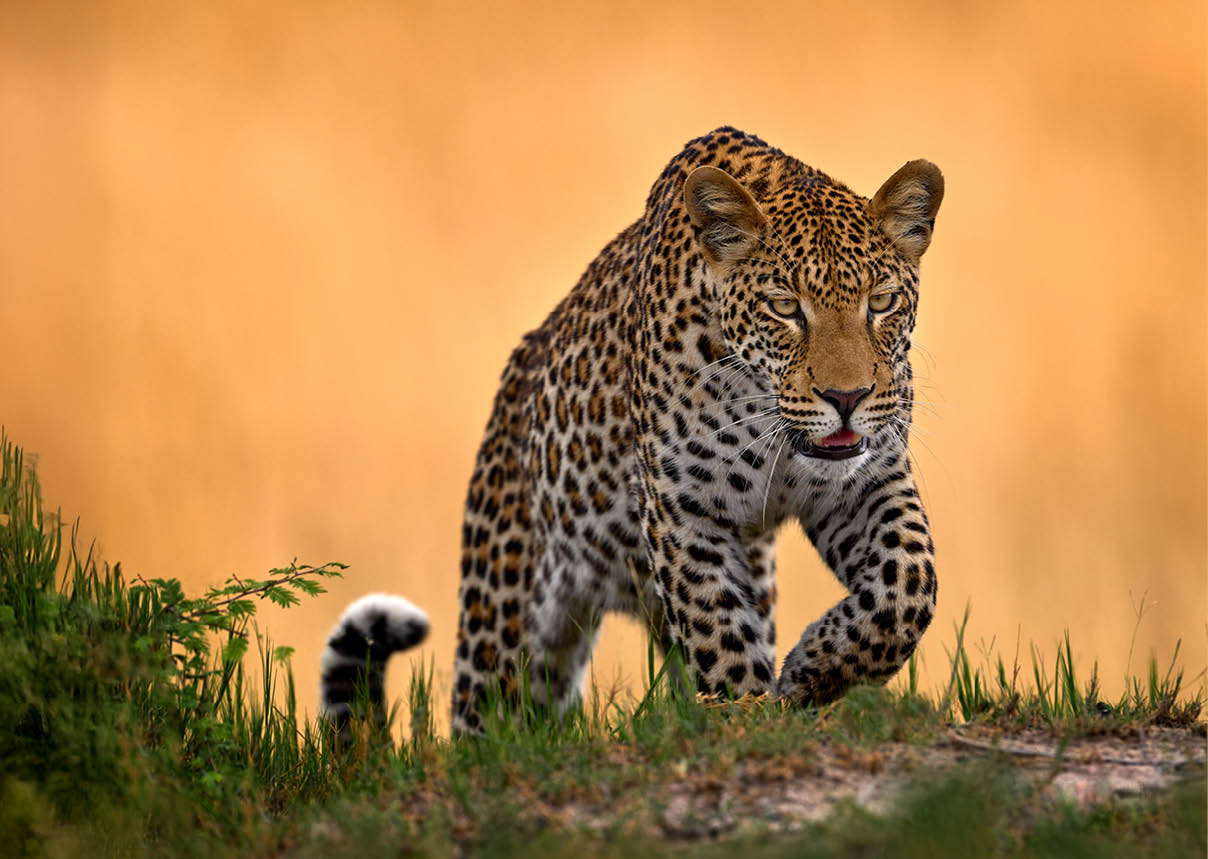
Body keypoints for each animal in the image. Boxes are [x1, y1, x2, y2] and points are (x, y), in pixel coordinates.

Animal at [319, 126, 943, 736]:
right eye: (784, 307)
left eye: (882, 302)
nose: (847, 397)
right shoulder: (683, 507)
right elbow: (717, 626)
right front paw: (744, 714)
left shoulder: (869, 482)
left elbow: (909, 584)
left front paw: (817, 668)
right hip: (499, 619)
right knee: (488, 719)